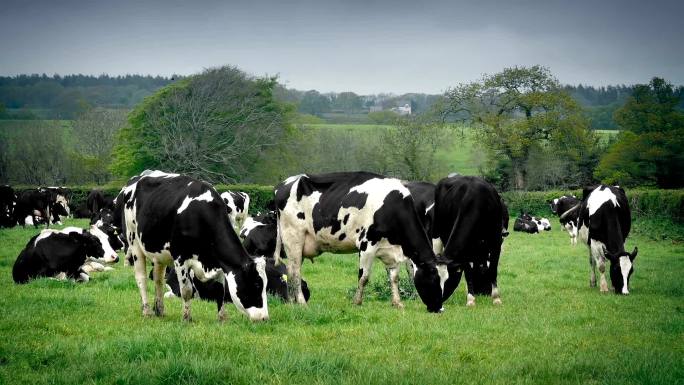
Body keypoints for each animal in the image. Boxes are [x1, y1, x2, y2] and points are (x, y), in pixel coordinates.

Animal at [272, 171, 448, 312]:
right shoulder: (367, 245)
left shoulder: (390, 250)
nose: (439, 309)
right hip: (293, 238)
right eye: (433, 280)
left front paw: (397, 303)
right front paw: (357, 302)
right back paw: (302, 303)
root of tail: (283, 184)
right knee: (295, 272)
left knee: (291, 271)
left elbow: (394, 277)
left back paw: (292, 302)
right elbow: (364, 277)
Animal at [432, 175, 508, 306]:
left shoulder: (496, 242)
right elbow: (468, 273)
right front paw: (471, 299)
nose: (438, 301)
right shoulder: (465, 250)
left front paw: (496, 298)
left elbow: (492, 269)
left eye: (447, 279)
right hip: (438, 233)